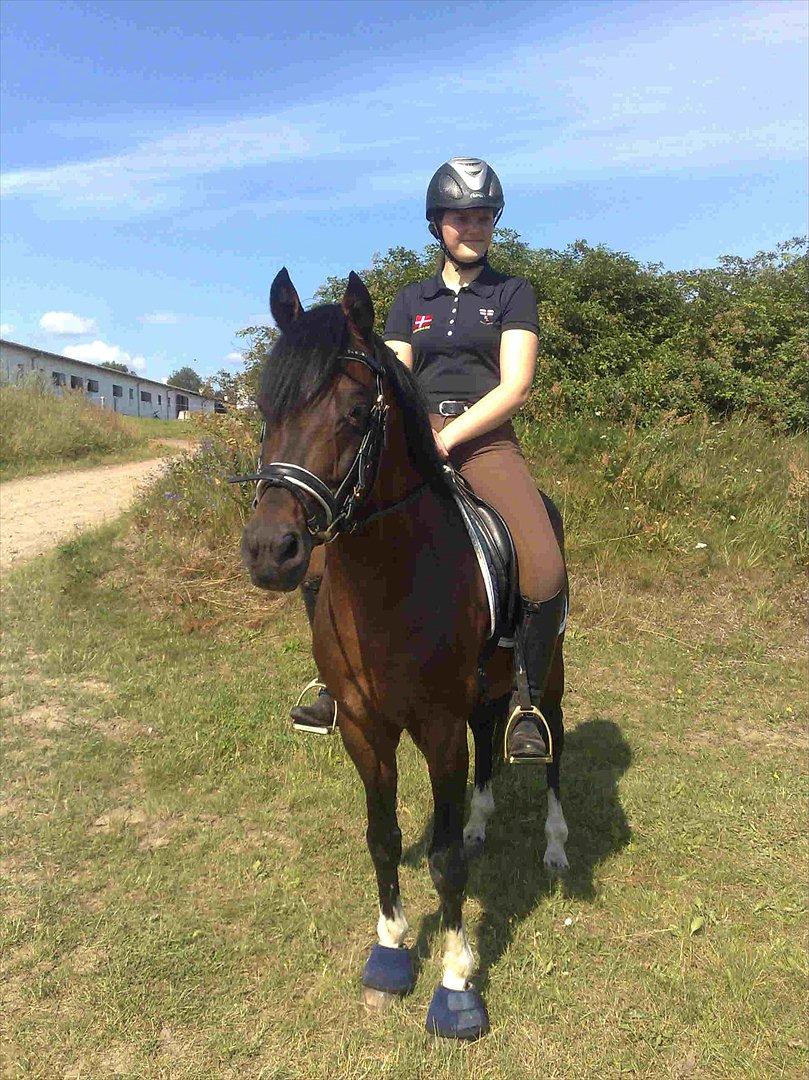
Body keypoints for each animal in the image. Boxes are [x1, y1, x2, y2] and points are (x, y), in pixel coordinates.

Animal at [234, 267, 570, 1040]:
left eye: (358, 412)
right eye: (265, 407)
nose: (270, 551)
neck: (389, 582)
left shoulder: (437, 729)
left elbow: (442, 863)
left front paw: (455, 984)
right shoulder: (364, 727)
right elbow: (382, 837)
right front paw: (390, 952)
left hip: (551, 675)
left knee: (550, 748)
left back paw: (555, 842)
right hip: (483, 686)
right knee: (489, 736)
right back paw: (481, 823)